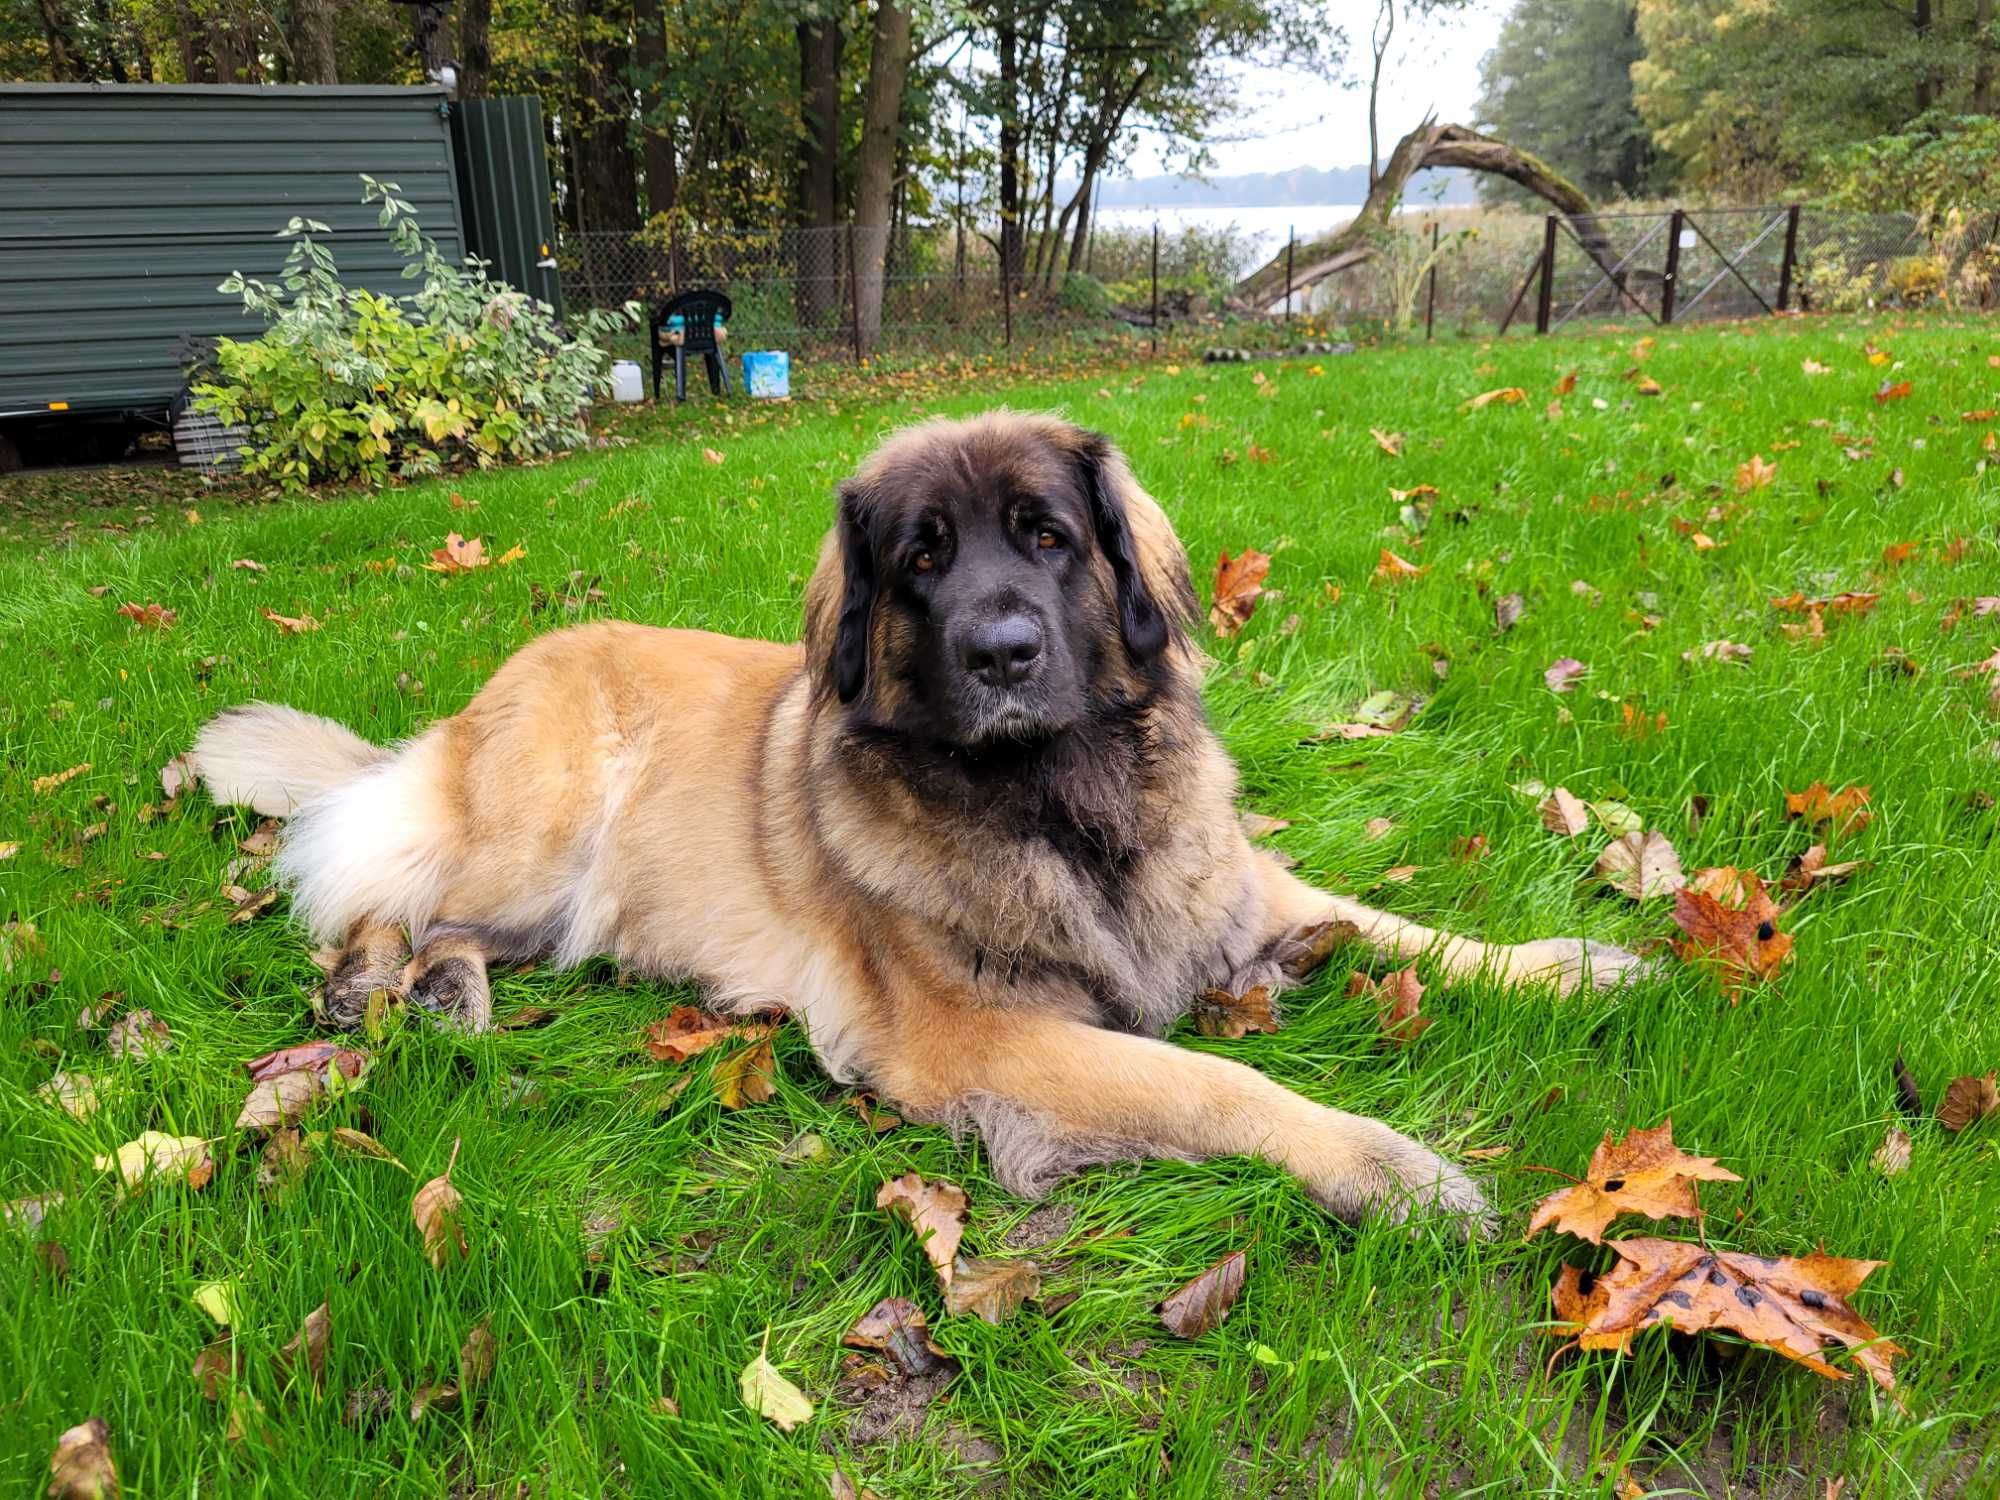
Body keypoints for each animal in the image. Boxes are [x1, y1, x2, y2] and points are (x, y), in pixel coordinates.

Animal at [195, 414, 1648, 1232]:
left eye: (1049, 537)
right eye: (923, 558)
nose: (1003, 652)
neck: (1061, 804)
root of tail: (486, 688)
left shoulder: (1239, 891)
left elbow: (1397, 923)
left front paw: (1568, 964)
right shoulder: (988, 1035)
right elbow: (1218, 1081)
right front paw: (1385, 1166)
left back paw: (444, 992)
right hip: (540, 837)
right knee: (378, 892)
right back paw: (380, 989)